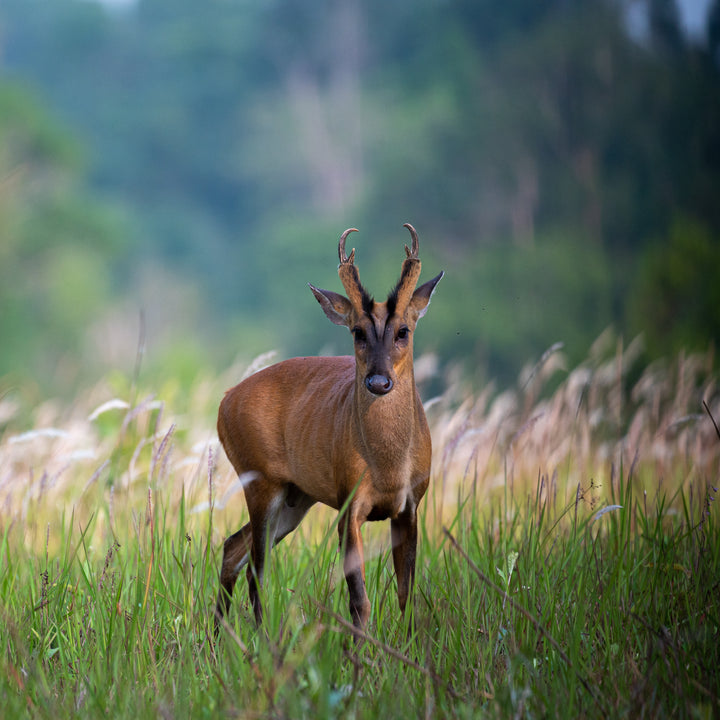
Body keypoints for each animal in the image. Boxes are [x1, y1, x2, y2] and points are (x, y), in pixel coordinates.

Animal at [214, 224, 442, 636]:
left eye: (403, 330)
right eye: (357, 332)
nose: (379, 382)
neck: (387, 465)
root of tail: (224, 402)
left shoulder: (411, 505)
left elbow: (406, 594)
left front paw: (408, 646)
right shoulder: (349, 502)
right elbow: (359, 600)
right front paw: (361, 649)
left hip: (296, 496)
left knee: (232, 548)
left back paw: (218, 636)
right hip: (259, 481)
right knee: (256, 570)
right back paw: (260, 638)